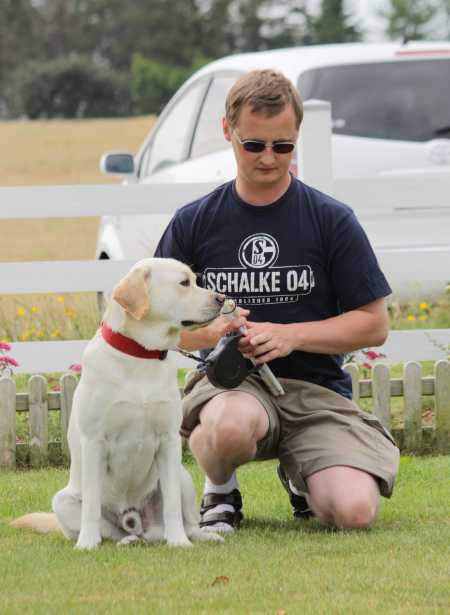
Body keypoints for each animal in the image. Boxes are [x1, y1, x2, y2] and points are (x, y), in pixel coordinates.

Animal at [12, 257, 224, 549]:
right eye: (184, 283)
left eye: (195, 279)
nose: (222, 299)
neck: (141, 355)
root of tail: (138, 522)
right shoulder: (95, 442)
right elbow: (91, 505)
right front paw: (86, 545)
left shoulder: (169, 439)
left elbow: (171, 505)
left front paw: (179, 542)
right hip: (63, 501)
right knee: (115, 532)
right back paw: (126, 540)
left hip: (182, 474)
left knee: (187, 521)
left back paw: (199, 535)